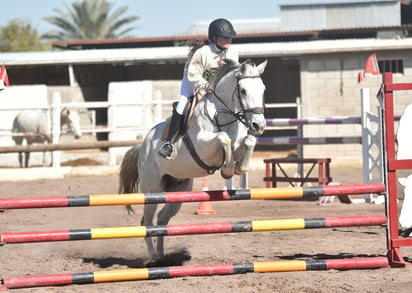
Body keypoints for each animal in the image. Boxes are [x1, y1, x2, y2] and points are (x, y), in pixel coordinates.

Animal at [119, 60, 268, 262]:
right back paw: (153, 258)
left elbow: (249, 141)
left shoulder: (239, 144)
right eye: (243, 91)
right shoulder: (203, 146)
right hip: (152, 190)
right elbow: (223, 138)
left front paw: (240, 167)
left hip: (178, 191)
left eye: (263, 89)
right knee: (147, 222)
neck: (223, 114)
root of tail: (143, 146)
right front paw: (227, 170)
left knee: (162, 219)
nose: (259, 125)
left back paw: (162, 256)